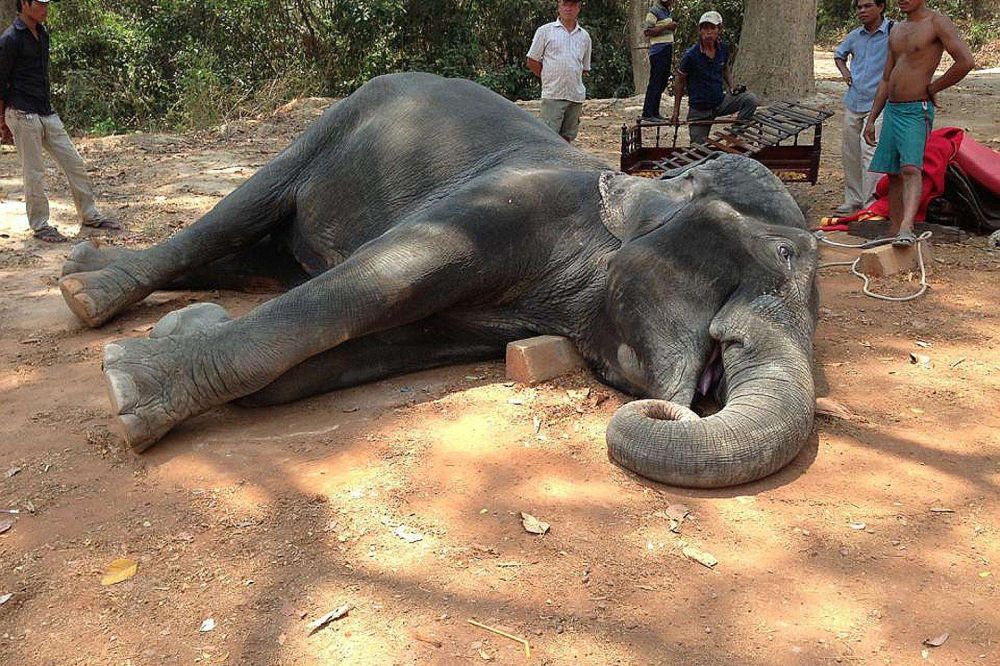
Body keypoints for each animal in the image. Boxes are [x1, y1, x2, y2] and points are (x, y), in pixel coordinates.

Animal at [58, 73, 819, 489]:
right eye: (779, 253)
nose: (683, 406)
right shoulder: (505, 204)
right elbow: (379, 279)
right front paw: (127, 385)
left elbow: (361, 350)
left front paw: (186, 329)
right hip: (332, 122)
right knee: (239, 213)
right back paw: (85, 295)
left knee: (261, 254)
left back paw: (86, 273)